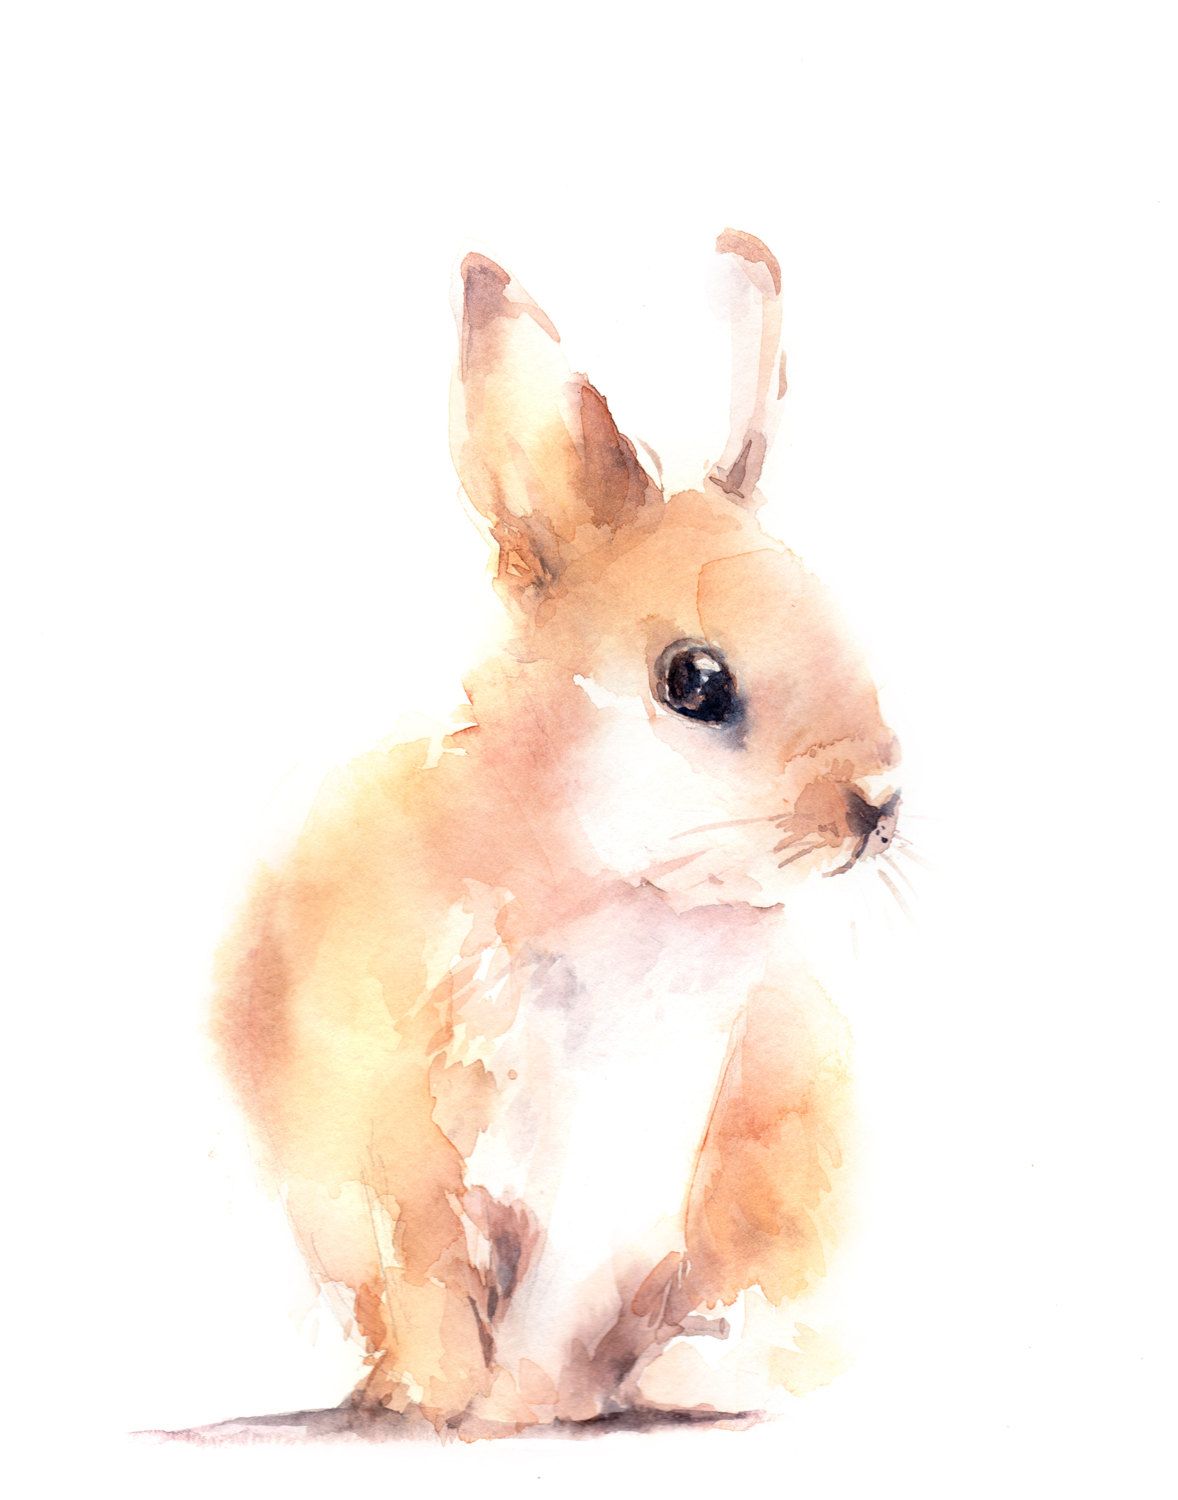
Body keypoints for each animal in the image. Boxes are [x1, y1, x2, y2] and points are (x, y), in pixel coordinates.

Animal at [214, 228, 902, 1438]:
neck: (607, 885)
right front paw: (449, 1407)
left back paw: (682, 1376)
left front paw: (521, 1411)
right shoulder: (397, 1155)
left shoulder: (621, 1188)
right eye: (693, 680)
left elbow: (556, 1317)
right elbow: (426, 1288)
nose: (876, 804)